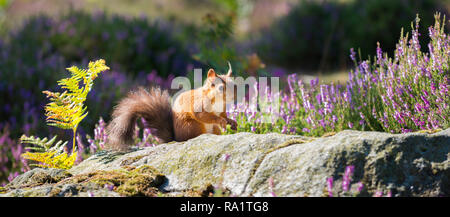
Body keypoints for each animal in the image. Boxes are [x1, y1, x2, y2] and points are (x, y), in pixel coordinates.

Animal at [106, 65, 239, 151]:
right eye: (220, 88)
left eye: (235, 85)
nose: (233, 97)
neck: (218, 101)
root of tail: (176, 139)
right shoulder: (199, 105)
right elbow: (204, 116)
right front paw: (221, 121)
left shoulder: (221, 109)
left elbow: (223, 115)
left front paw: (232, 122)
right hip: (193, 126)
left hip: (213, 129)